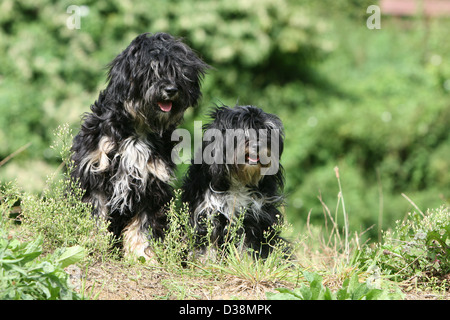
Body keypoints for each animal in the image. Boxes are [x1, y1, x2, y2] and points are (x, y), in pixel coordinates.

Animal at [71, 32, 209, 258]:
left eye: (178, 72)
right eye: (152, 69)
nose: (171, 89)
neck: (138, 128)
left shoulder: (152, 183)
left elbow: (143, 224)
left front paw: (141, 254)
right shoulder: (94, 173)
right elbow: (95, 214)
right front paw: (92, 242)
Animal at [181, 104, 286, 258]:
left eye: (266, 131)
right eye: (242, 131)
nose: (258, 145)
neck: (238, 179)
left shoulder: (253, 219)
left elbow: (248, 247)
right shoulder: (208, 215)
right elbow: (208, 247)